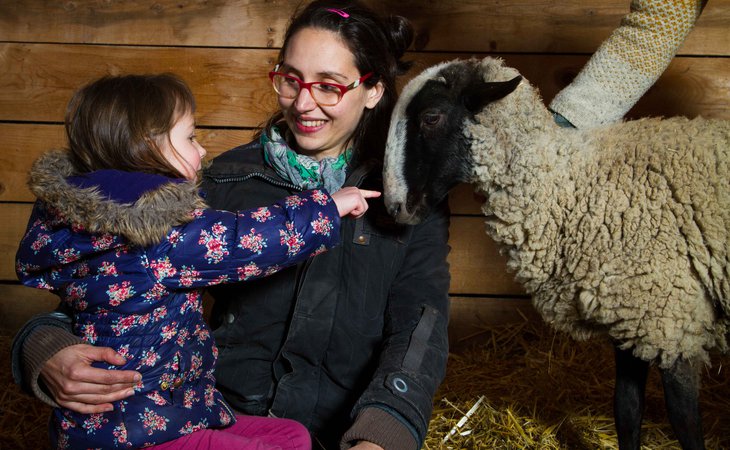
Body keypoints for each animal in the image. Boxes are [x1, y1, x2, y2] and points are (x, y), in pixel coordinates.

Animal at [384, 57, 724, 450]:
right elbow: (626, 410)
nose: (394, 206)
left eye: (431, 117)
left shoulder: (672, 324)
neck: (571, 187)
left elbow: (684, 424)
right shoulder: (632, 320)